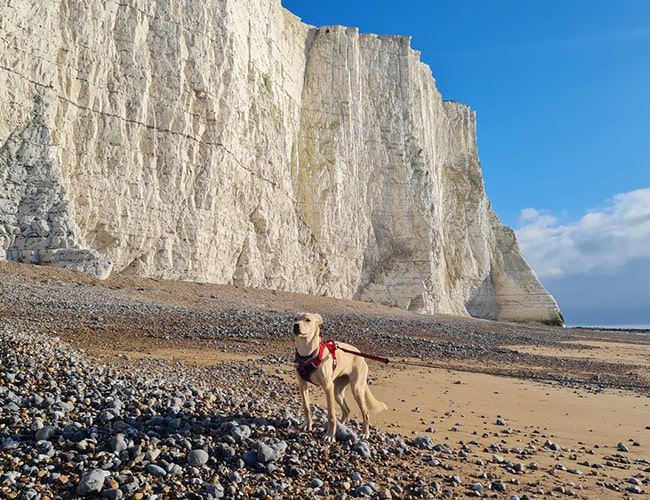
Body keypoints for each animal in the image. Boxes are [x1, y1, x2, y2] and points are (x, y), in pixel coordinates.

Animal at [292, 312, 387, 441]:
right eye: (295, 319)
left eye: (308, 320)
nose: (295, 326)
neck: (307, 353)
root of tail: (360, 354)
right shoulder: (302, 384)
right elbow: (306, 407)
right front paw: (307, 425)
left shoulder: (328, 387)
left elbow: (331, 414)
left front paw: (330, 435)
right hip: (337, 391)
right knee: (346, 410)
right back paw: (341, 428)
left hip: (356, 389)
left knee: (365, 412)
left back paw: (365, 433)